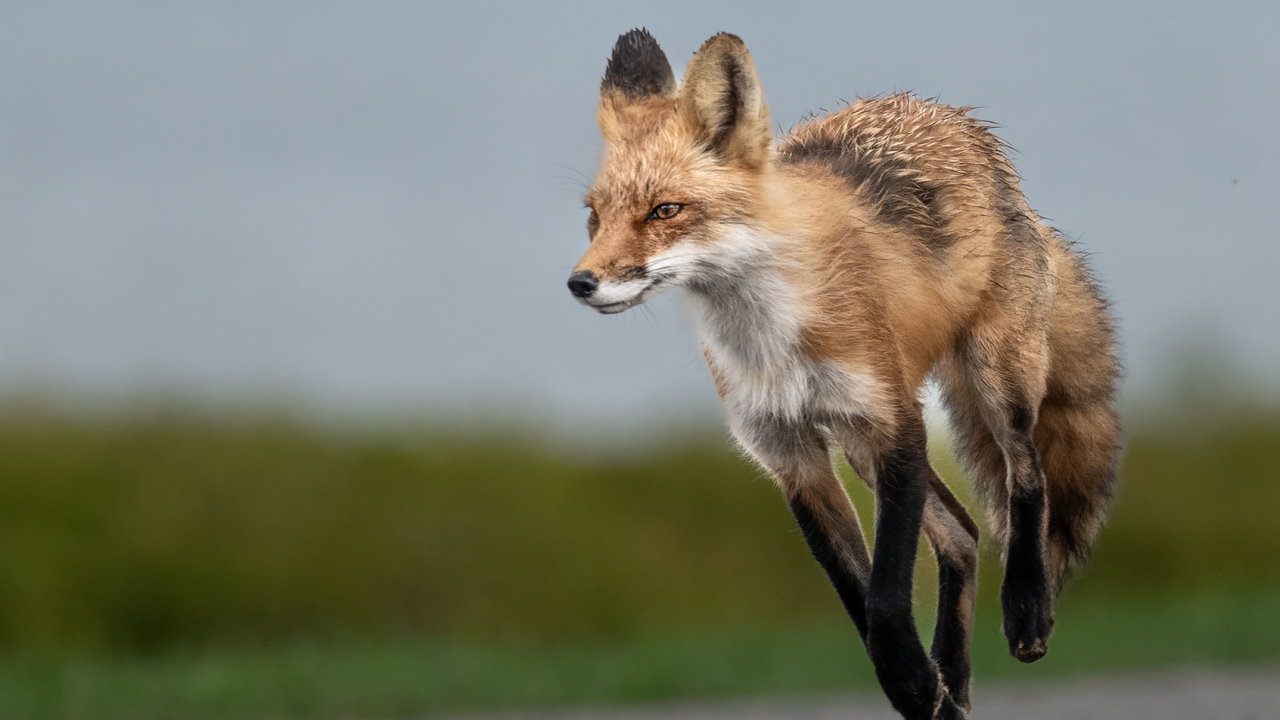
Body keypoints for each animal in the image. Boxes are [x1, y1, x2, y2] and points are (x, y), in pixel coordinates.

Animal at [567, 29, 1121, 720]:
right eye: (594, 216)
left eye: (665, 210)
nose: (581, 282)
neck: (774, 342)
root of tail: (959, 123)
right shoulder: (791, 454)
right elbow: (857, 599)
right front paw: (924, 688)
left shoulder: (895, 423)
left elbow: (884, 595)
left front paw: (912, 680)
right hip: (859, 447)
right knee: (963, 534)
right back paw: (955, 684)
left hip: (994, 381)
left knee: (1026, 474)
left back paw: (1026, 610)